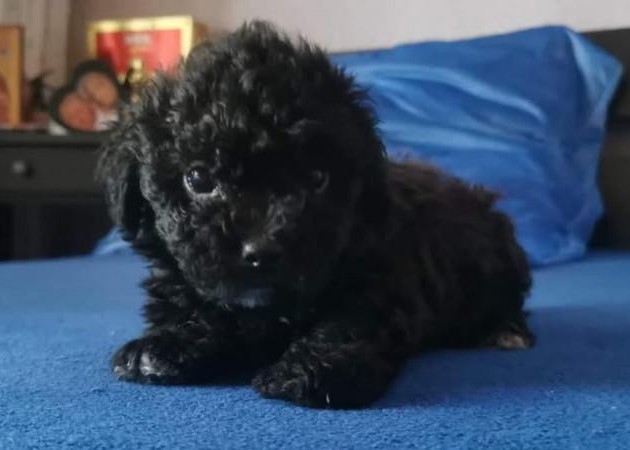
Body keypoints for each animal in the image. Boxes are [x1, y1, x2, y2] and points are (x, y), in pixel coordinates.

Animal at [97, 21, 533, 409]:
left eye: (317, 178)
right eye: (199, 178)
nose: (262, 251)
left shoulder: (382, 279)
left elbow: (350, 323)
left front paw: (312, 370)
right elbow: (193, 309)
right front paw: (164, 346)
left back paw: (505, 331)